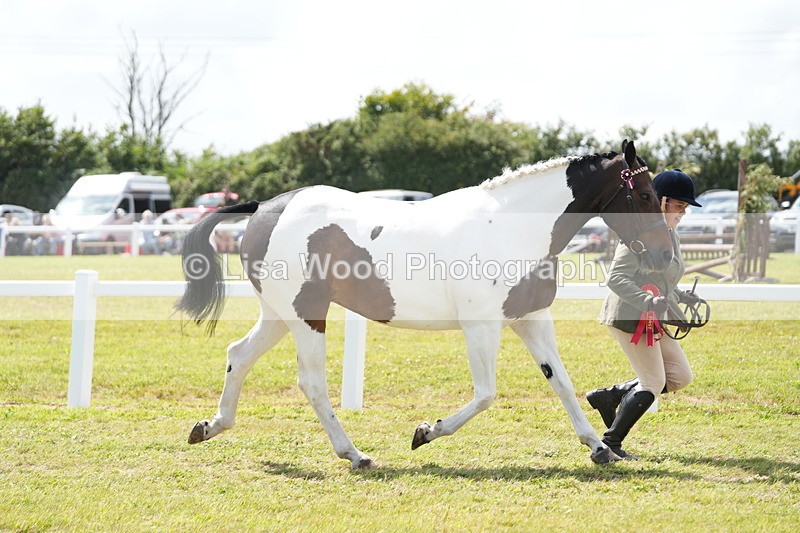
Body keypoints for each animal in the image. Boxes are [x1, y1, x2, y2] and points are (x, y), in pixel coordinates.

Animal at [176, 140, 673, 468]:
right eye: (645, 194)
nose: (666, 256)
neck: (510, 226)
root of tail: (265, 208)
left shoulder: (531, 320)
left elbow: (563, 384)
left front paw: (600, 448)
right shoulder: (482, 327)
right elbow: (486, 394)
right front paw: (425, 432)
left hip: (281, 315)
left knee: (238, 355)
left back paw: (209, 427)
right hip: (306, 317)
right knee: (311, 383)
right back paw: (355, 455)